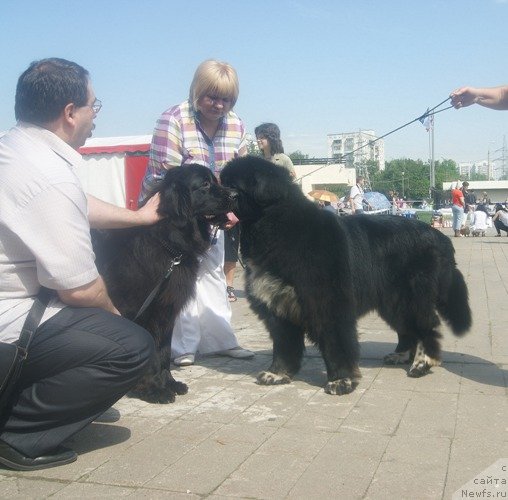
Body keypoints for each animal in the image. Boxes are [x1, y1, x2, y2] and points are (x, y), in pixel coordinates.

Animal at [93, 166, 236, 404]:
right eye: (205, 184)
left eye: (215, 180)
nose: (236, 194)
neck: (168, 244)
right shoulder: (143, 313)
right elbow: (151, 353)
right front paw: (153, 390)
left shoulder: (166, 311)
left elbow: (163, 352)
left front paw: (169, 383)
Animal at [222, 156, 472, 394]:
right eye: (220, 183)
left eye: (231, 187)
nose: (213, 193)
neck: (277, 228)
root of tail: (440, 237)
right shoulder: (278, 307)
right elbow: (284, 345)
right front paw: (277, 374)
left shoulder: (328, 304)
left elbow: (336, 343)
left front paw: (341, 381)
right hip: (393, 301)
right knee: (407, 327)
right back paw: (400, 355)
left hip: (413, 296)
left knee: (427, 325)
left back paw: (422, 364)